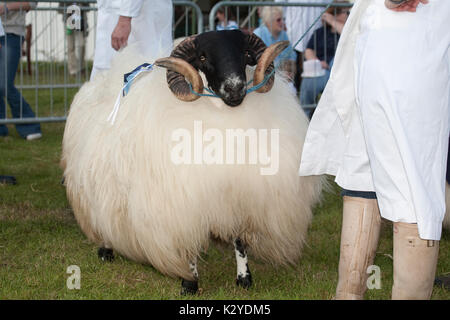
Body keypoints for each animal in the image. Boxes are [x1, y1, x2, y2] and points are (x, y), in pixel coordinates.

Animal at [61, 30, 326, 296]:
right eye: (202, 57)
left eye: (244, 52)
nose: (235, 88)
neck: (223, 117)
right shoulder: (183, 206)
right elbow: (187, 246)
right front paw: (189, 282)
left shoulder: (238, 196)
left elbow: (240, 242)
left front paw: (244, 279)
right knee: (100, 212)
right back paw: (106, 249)